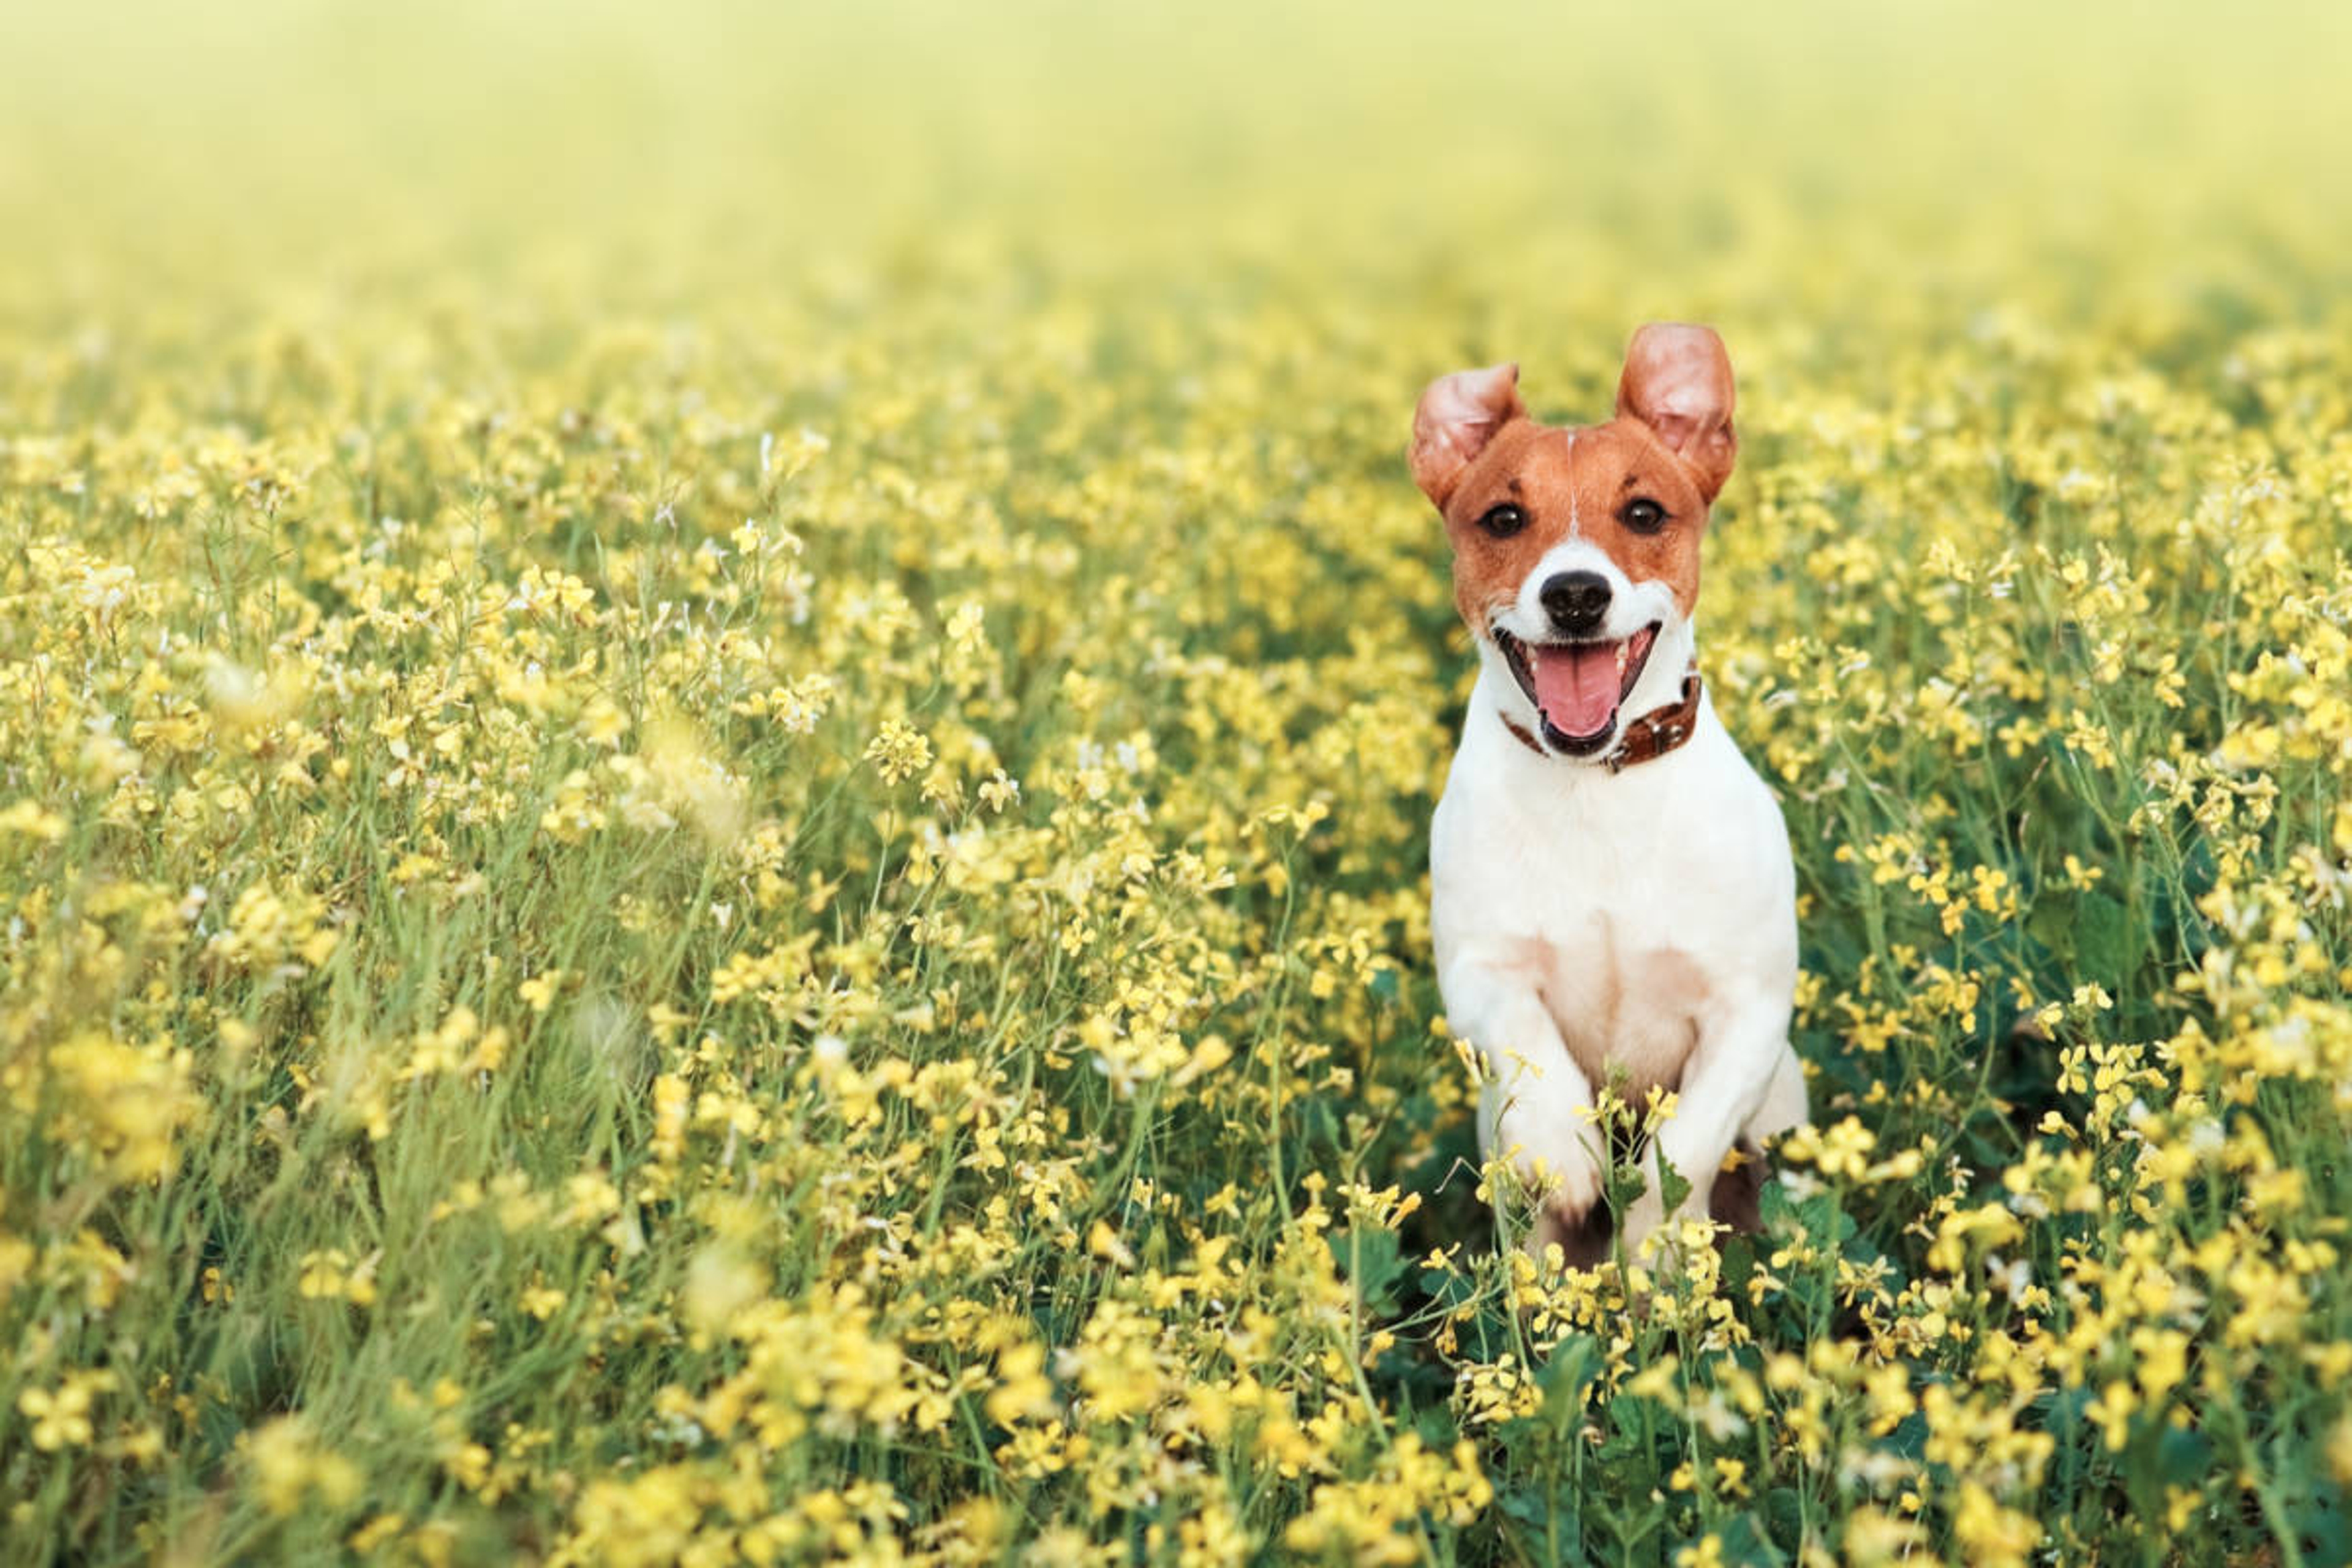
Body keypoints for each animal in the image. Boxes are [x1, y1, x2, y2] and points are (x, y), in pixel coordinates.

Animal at [1411, 324, 1796, 1269]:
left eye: (1645, 513)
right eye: (1504, 518)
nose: (1577, 594)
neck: (1597, 786)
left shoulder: (1751, 1009)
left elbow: (1683, 1147)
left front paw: (1654, 1240)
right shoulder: (1480, 970)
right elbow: (1530, 1048)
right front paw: (1570, 1150)